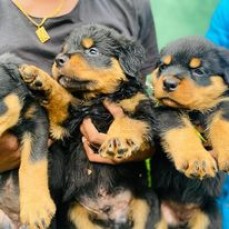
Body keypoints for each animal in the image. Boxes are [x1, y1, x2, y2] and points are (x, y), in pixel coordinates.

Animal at [19, 24, 159, 228]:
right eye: (64, 50)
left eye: (92, 51)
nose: (59, 60)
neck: (97, 99)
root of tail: (113, 215)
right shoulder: (67, 121)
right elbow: (62, 97)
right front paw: (40, 78)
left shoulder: (145, 112)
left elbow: (127, 120)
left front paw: (117, 140)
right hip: (74, 211)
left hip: (146, 200)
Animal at [149, 36, 226, 228]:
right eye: (163, 67)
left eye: (198, 71)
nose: (168, 83)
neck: (193, 110)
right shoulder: (163, 110)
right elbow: (180, 129)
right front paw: (198, 161)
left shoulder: (223, 104)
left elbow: (223, 122)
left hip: (209, 213)